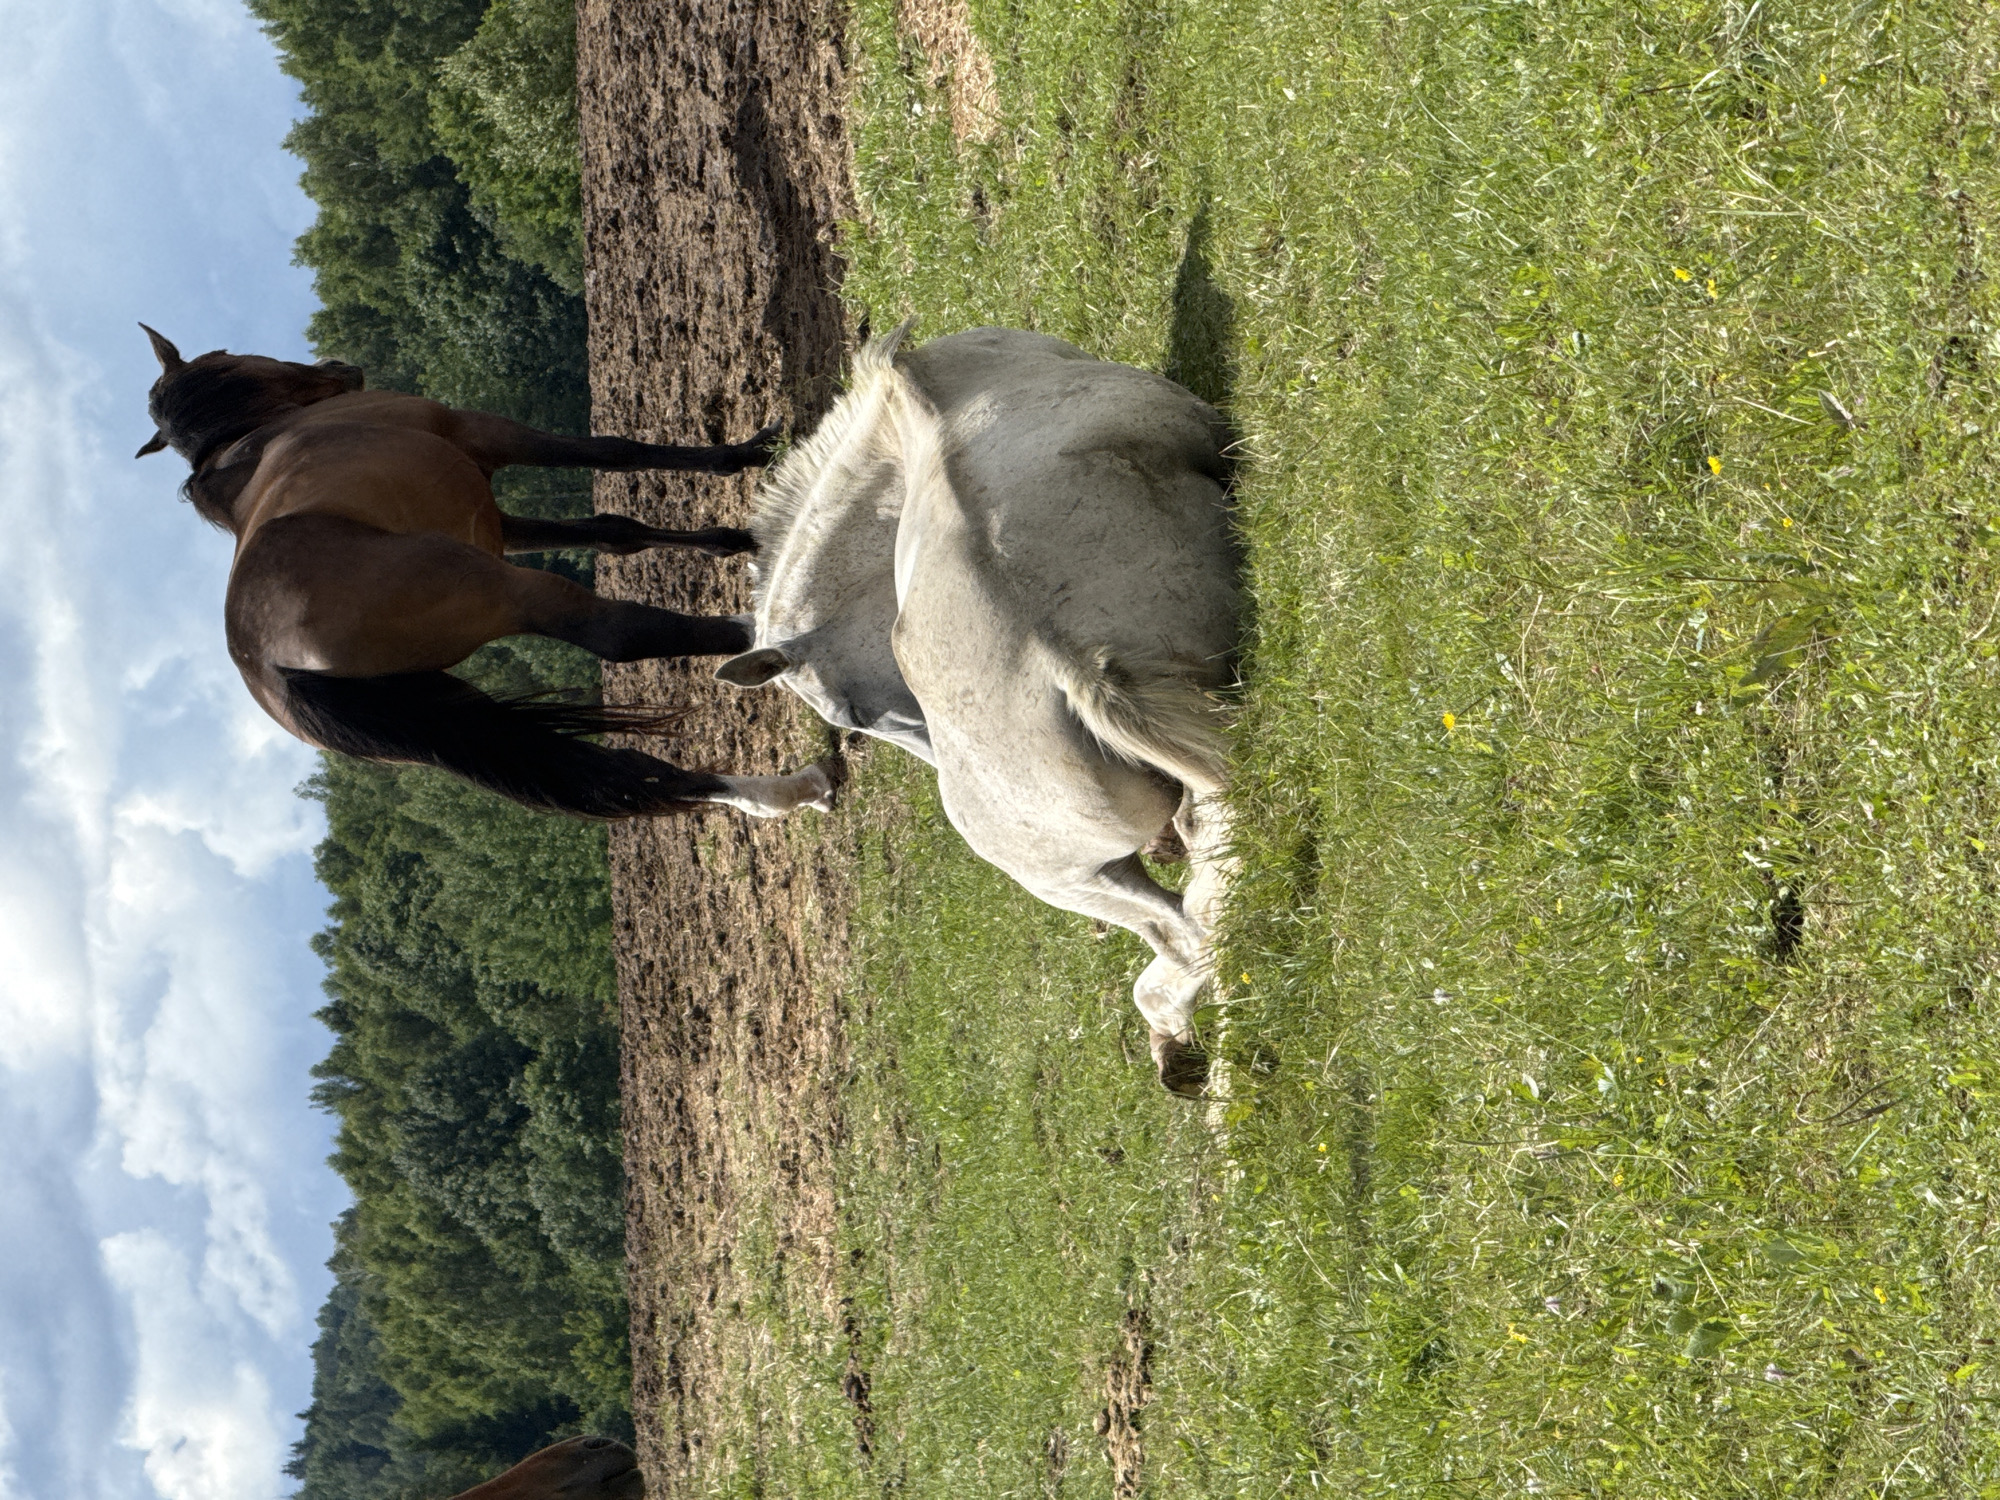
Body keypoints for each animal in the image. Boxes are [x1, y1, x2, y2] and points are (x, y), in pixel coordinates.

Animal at [135, 325, 833, 819]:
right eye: (226, 356)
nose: (338, 368)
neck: (259, 441)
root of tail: (269, 664)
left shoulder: (496, 523)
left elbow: (615, 532)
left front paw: (737, 538)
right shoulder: (487, 436)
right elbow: (615, 451)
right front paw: (747, 456)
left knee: (637, 774)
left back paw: (792, 789)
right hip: (504, 591)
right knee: (621, 634)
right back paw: (767, 632)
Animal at [716, 326, 1240, 1094]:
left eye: (846, 716)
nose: (937, 754)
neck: (913, 419)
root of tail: (1067, 663)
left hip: (1072, 877)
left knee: (1184, 932)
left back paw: (1176, 1048)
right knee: (1199, 911)